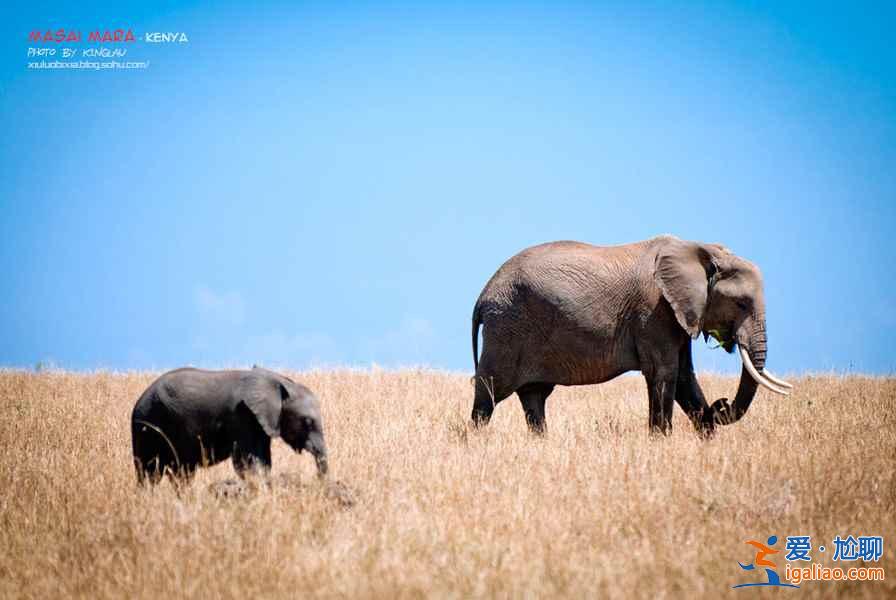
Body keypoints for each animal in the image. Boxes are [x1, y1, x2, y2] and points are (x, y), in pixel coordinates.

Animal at [131, 366, 328, 488]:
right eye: (307, 421)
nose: (319, 480)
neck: (277, 381)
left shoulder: (260, 421)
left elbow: (263, 459)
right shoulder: (241, 416)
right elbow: (247, 461)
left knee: (178, 472)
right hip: (147, 425)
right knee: (149, 471)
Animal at [468, 234, 792, 436]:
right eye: (741, 304)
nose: (721, 404)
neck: (698, 249)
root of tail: (483, 296)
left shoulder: (678, 314)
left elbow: (684, 376)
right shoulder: (655, 311)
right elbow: (664, 372)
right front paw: (661, 442)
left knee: (534, 397)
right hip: (507, 328)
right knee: (489, 394)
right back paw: (473, 441)